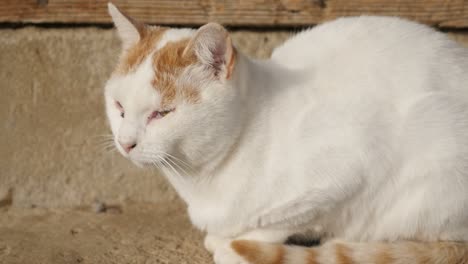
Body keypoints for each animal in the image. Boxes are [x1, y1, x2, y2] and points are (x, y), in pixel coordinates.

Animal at [104, 2, 468, 264]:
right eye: (119, 106)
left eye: (162, 114)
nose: (125, 142)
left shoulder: (347, 173)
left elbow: (280, 223)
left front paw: (235, 243)